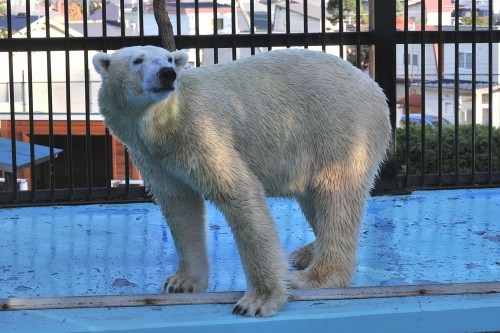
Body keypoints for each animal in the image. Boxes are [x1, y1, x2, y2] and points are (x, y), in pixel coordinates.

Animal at [93, 44, 390, 316]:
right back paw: (305, 253)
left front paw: (258, 301)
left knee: (335, 199)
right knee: (314, 199)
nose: (167, 74)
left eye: (168, 59)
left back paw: (315, 276)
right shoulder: (153, 158)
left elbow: (239, 194)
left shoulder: (202, 133)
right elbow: (180, 207)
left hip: (339, 129)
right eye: (137, 60)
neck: (163, 127)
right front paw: (181, 282)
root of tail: (374, 87)